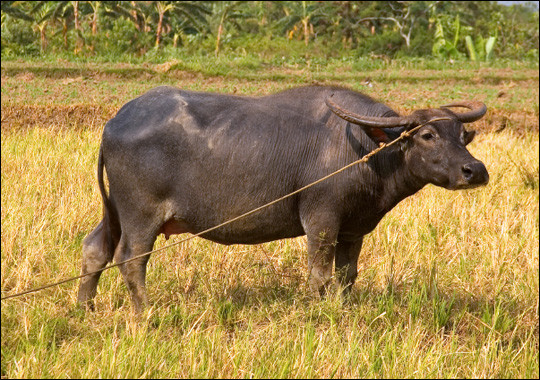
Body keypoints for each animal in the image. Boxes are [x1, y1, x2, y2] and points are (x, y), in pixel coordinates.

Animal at [77, 85, 490, 312]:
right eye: (427, 136)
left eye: (460, 135)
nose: (475, 171)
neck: (366, 150)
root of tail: (115, 121)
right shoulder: (321, 218)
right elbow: (320, 275)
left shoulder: (353, 228)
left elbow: (348, 275)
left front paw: (343, 308)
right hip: (140, 213)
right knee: (131, 259)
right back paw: (146, 314)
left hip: (115, 209)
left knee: (95, 247)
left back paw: (86, 307)